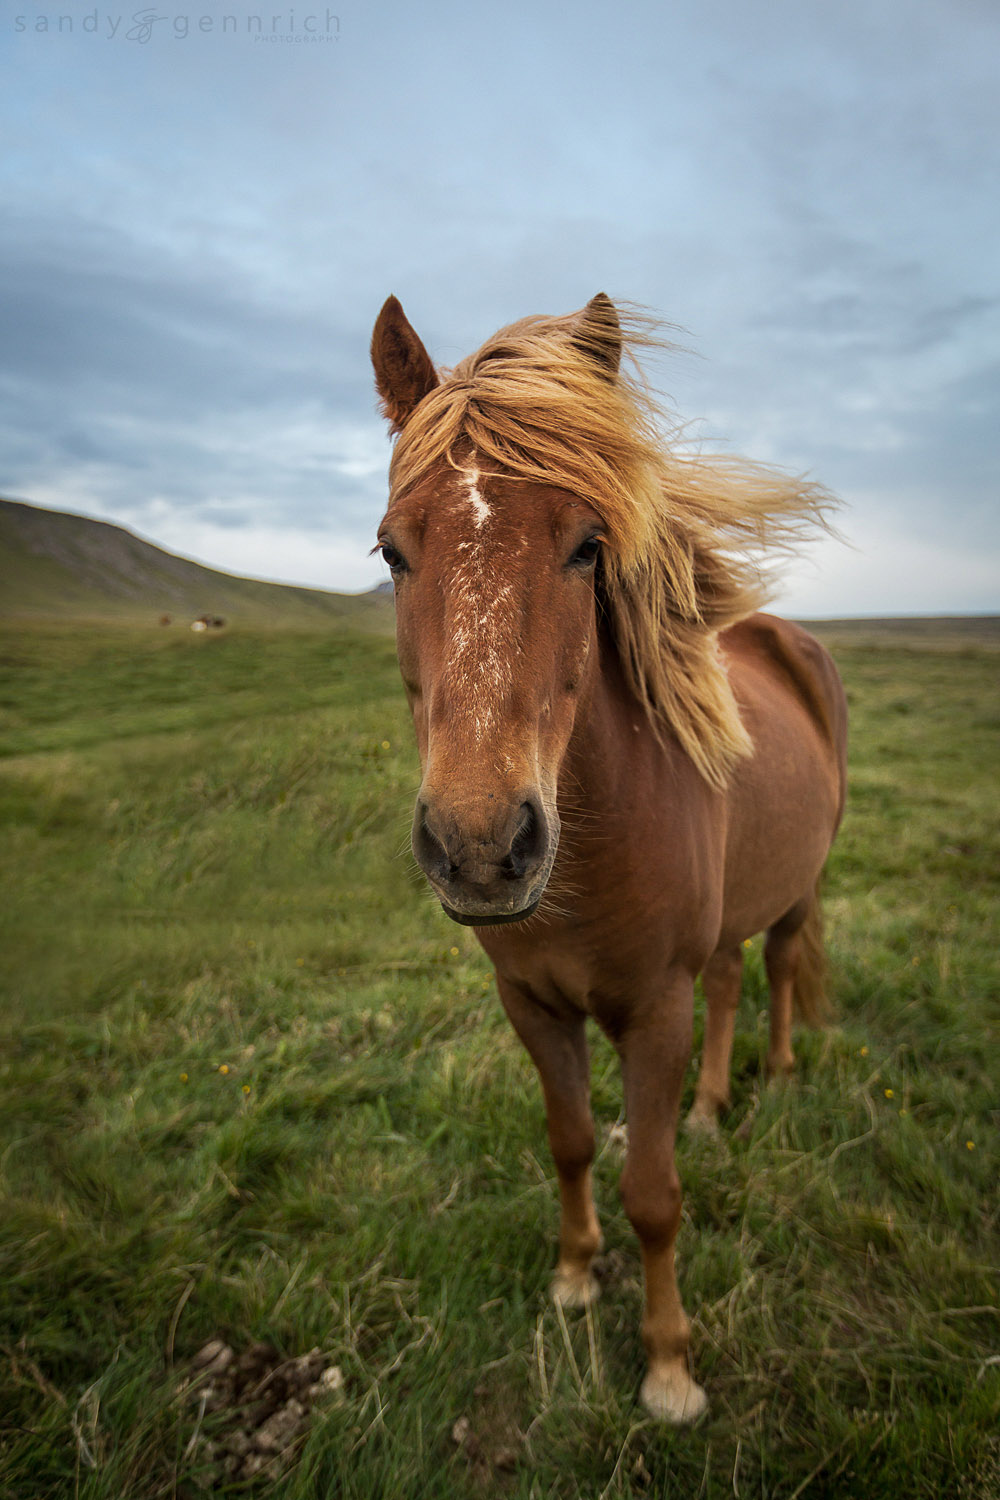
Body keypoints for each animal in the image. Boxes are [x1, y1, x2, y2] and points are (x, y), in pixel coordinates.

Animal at [371, 289, 851, 1416]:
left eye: (588, 545)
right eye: (391, 553)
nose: (481, 845)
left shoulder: (653, 1010)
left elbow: (654, 1192)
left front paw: (670, 1364)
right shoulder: (532, 1004)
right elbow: (572, 1142)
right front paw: (574, 1275)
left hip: (800, 890)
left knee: (774, 972)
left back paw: (778, 1077)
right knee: (732, 979)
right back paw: (714, 1108)